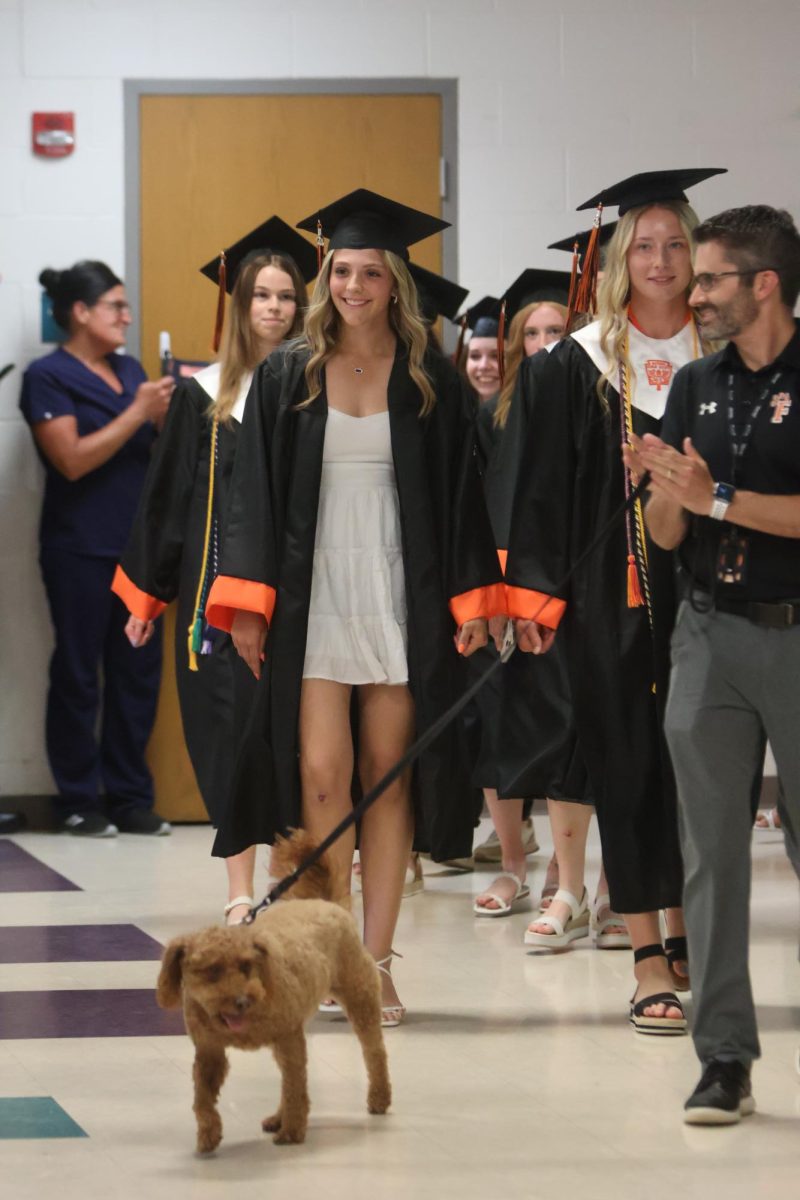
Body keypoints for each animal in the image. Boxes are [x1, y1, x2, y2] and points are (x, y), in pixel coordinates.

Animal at [155, 835, 391, 1152]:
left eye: (246, 965)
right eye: (212, 971)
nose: (242, 1000)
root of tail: (329, 904)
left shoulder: (289, 1038)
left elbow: (295, 1089)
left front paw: (292, 1131)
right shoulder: (209, 1052)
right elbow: (202, 1098)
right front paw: (208, 1133)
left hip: (359, 996)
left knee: (374, 1052)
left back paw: (379, 1097)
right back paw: (277, 1118)